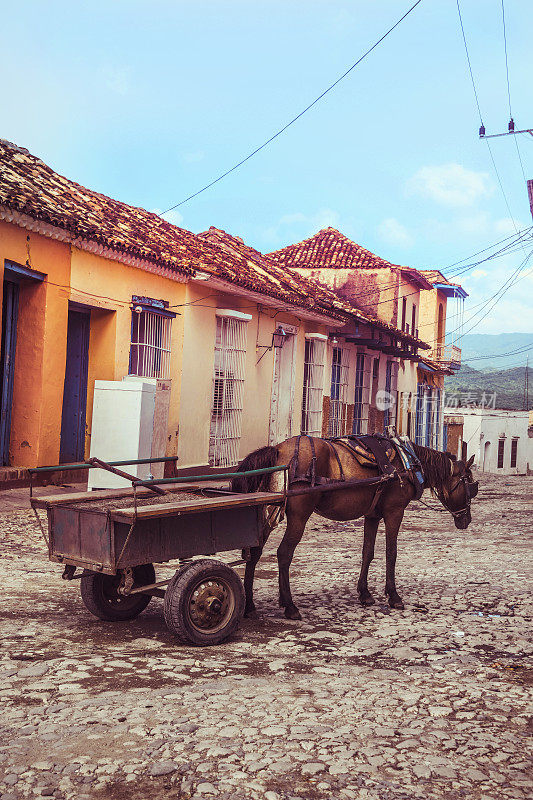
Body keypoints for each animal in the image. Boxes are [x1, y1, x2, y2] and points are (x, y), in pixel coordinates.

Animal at [231, 438, 476, 620]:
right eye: (470, 485)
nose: (466, 520)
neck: (408, 464)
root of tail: (279, 449)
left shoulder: (372, 515)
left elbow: (368, 552)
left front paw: (365, 593)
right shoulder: (394, 512)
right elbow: (391, 553)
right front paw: (394, 596)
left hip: (267, 509)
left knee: (254, 552)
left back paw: (250, 606)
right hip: (298, 516)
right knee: (284, 553)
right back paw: (290, 606)